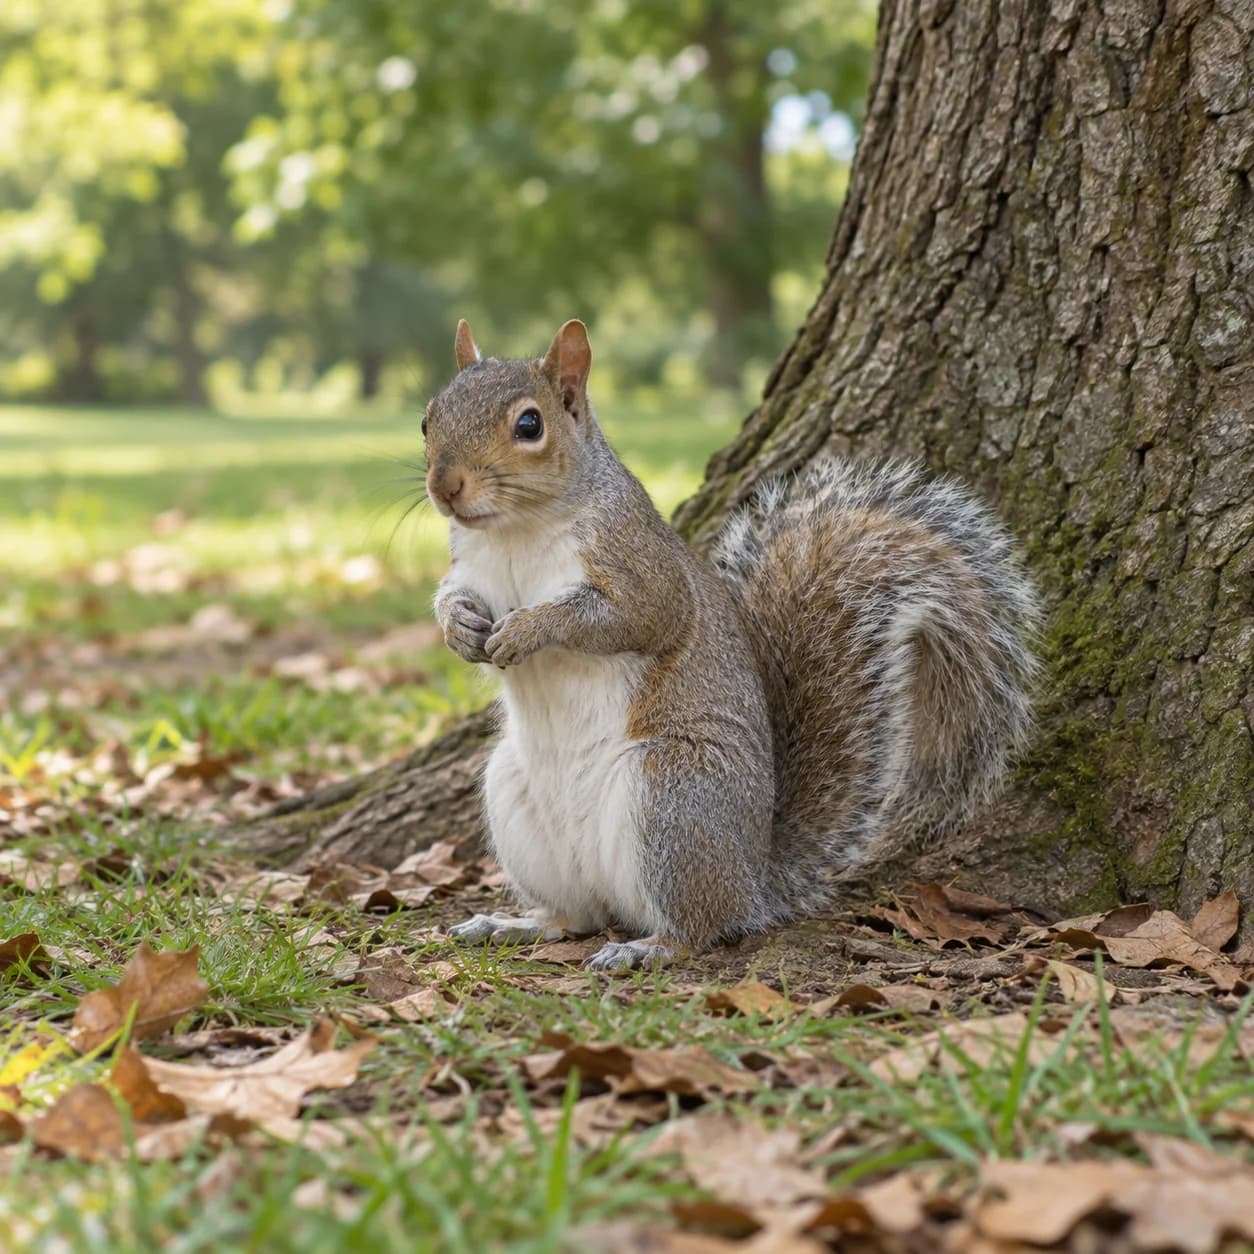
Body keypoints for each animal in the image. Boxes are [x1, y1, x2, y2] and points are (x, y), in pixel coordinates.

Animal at [427, 318, 1039, 970]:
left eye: (529, 425)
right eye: (427, 417)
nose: (445, 488)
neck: (515, 532)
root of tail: (753, 878)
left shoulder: (641, 569)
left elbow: (630, 619)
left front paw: (528, 628)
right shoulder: (470, 565)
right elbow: (451, 594)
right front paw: (458, 627)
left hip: (673, 795)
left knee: (701, 927)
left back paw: (649, 948)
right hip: (518, 800)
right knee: (579, 914)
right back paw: (516, 922)